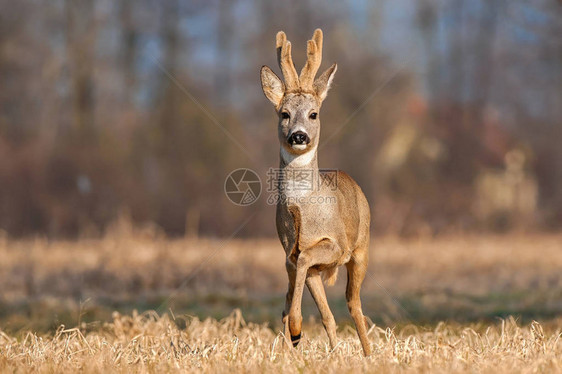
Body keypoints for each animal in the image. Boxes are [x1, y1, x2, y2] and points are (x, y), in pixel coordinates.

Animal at [258, 30, 372, 356]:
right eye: (284, 113)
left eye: (313, 113)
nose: (298, 136)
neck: (302, 209)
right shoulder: (291, 253)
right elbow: (305, 296)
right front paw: (294, 333)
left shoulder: (336, 244)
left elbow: (309, 258)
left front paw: (296, 331)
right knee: (327, 313)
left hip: (361, 248)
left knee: (354, 303)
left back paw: (369, 352)